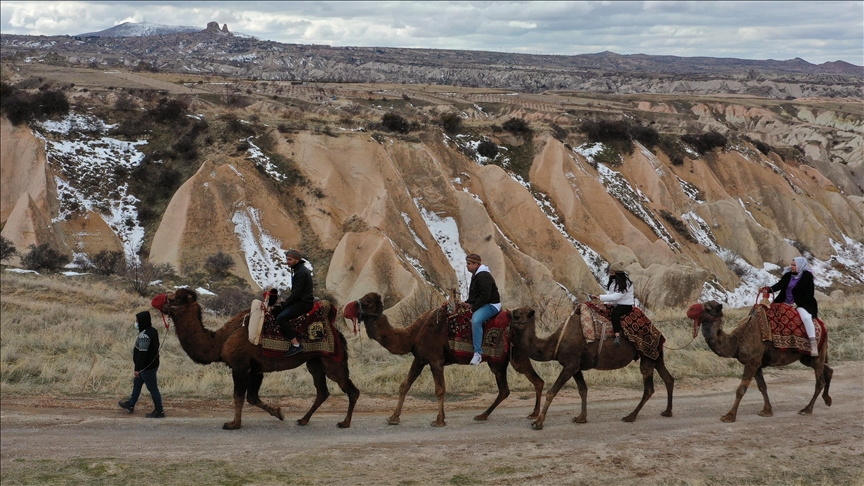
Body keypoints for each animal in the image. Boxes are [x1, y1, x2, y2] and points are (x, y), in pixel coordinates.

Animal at [160, 288, 360, 430]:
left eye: (172, 299)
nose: (159, 303)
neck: (220, 340)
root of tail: (338, 333)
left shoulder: (240, 367)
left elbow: (238, 397)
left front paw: (233, 424)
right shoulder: (256, 370)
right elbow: (252, 398)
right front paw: (279, 413)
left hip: (332, 361)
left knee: (351, 389)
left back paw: (345, 423)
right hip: (315, 362)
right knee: (322, 391)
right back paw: (303, 419)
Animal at [342, 292, 540, 426]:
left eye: (367, 301)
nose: (347, 307)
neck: (413, 335)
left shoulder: (435, 360)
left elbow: (439, 390)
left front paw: (439, 420)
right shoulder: (420, 359)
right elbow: (405, 385)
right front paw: (393, 417)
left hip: (514, 357)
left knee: (536, 381)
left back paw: (534, 415)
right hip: (498, 363)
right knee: (505, 390)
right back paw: (483, 415)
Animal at [506, 306, 676, 428]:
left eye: (517, 315)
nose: (506, 315)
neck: (555, 343)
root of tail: (658, 332)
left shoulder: (570, 365)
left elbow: (551, 392)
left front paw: (538, 422)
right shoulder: (575, 367)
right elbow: (583, 390)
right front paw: (581, 418)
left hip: (647, 356)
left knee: (649, 388)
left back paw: (630, 416)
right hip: (656, 357)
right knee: (669, 379)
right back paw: (667, 411)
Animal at [684, 300, 832, 422]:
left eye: (708, 308)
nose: (690, 309)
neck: (737, 341)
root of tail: (823, 325)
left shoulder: (752, 362)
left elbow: (741, 389)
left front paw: (729, 416)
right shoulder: (756, 363)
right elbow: (762, 387)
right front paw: (767, 411)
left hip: (816, 353)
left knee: (820, 381)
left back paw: (807, 409)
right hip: (806, 358)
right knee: (828, 370)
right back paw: (827, 400)